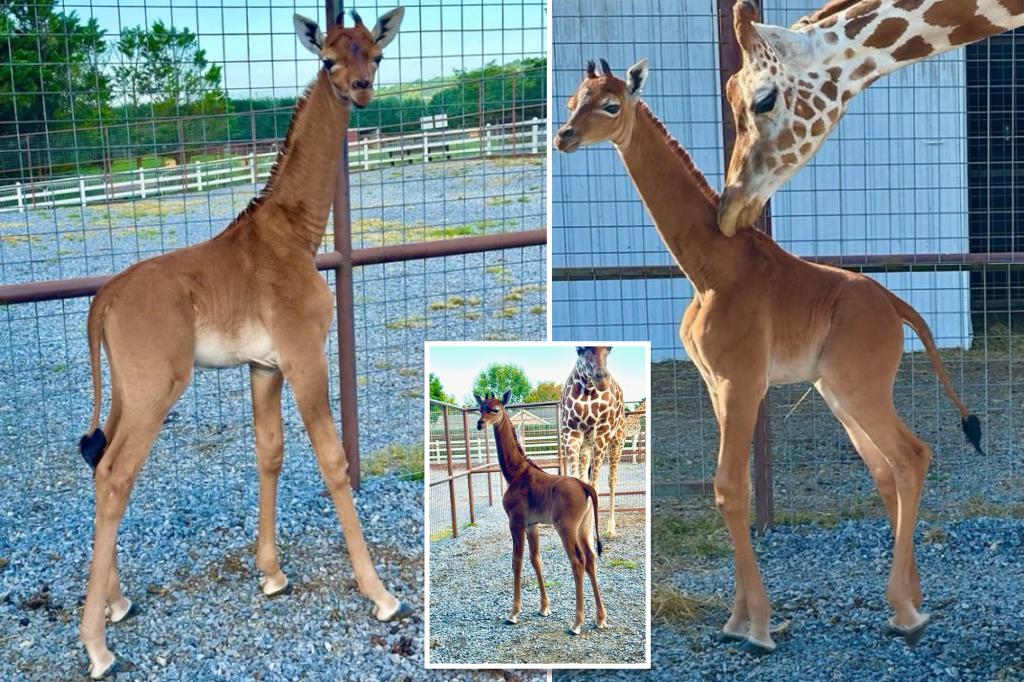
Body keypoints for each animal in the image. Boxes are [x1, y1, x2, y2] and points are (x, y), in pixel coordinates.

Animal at [74, 9, 407, 678]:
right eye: (329, 59)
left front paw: (272, 574)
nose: (361, 89)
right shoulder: (305, 356)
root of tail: (106, 299)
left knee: (99, 464)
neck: (296, 234)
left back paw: (117, 603)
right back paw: (97, 645)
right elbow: (333, 460)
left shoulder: (263, 365)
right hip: (156, 390)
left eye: (376, 54)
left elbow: (269, 452)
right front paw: (381, 594)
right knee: (116, 476)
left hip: (125, 390)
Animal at [475, 391, 607, 636]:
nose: (480, 423)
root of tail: (585, 486)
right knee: (591, 558)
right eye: (481, 408)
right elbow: (536, 559)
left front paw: (513, 613)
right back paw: (601, 619)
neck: (514, 473)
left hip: (566, 528)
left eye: (495, 409)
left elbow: (516, 561)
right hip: (584, 528)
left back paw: (576, 624)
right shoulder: (531, 524)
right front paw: (544, 607)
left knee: (578, 561)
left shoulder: (516, 522)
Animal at [560, 346, 627, 538]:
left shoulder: (602, 435)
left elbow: (594, 485)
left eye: (609, 349)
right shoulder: (571, 435)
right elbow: (578, 480)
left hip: (617, 441)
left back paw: (611, 528)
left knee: (612, 479)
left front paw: (589, 534)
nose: (601, 379)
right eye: (579, 349)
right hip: (586, 445)